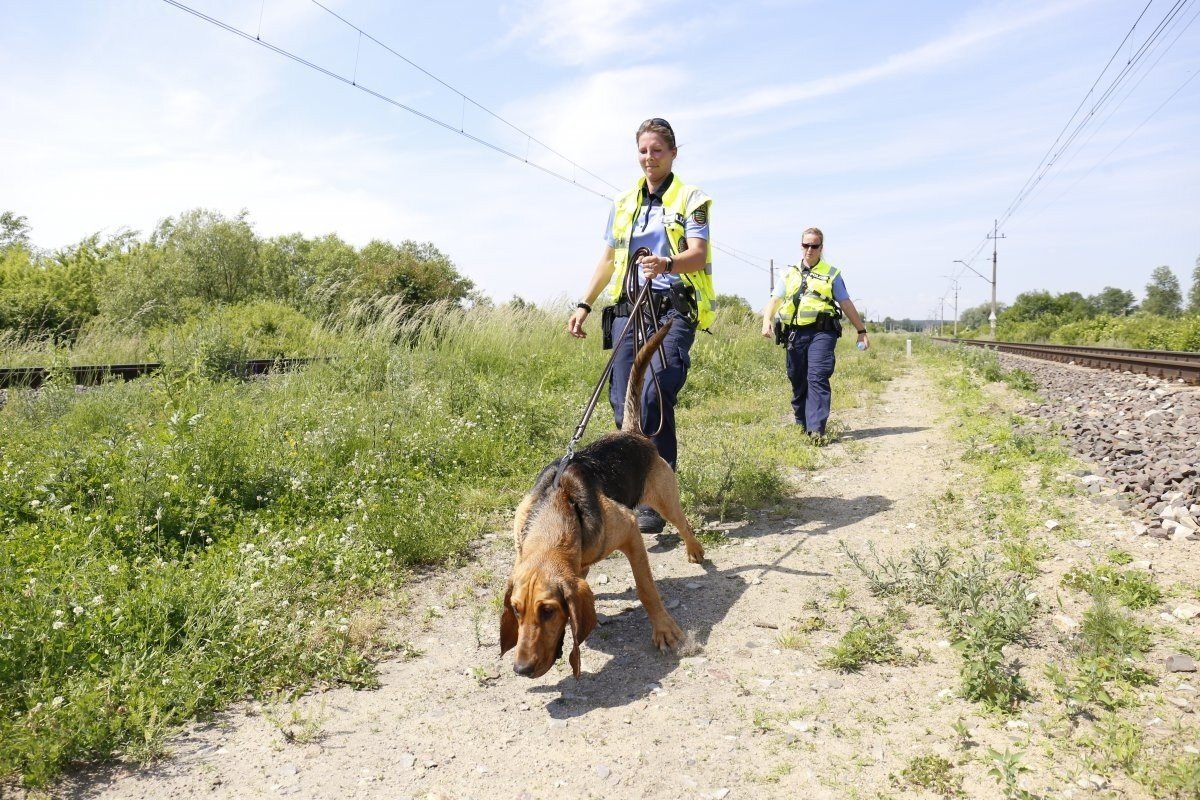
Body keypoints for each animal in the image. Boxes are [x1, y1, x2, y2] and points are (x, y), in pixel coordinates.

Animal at [496, 319, 700, 676]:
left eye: (548, 611)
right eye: (516, 610)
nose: (521, 669)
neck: (558, 507)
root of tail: (631, 433)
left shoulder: (630, 531)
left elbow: (647, 589)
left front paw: (664, 630)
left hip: (665, 499)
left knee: (684, 525)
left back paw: (696, 551)